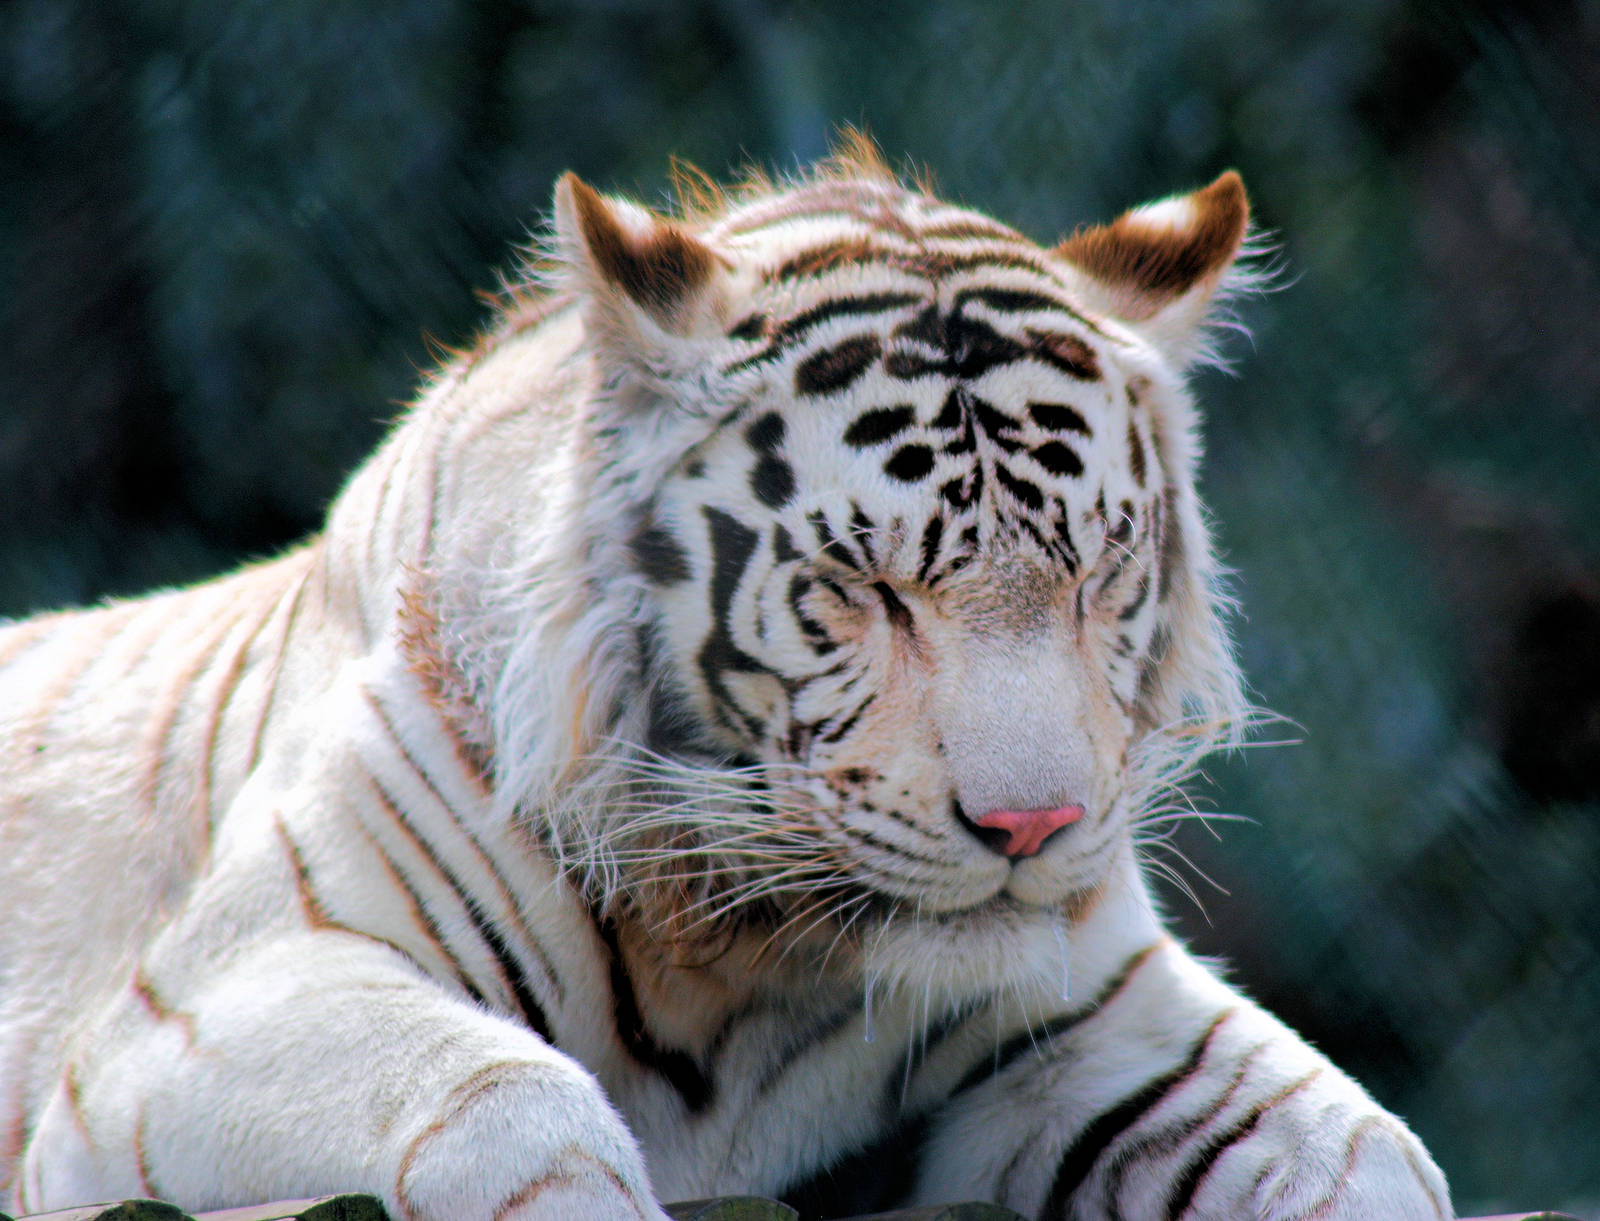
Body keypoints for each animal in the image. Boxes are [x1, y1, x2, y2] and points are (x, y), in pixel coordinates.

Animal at [0, 138, 1452, 1221]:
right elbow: (511, 1107)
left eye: (1096, 575)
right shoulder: (196, 1017)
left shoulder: (1098, 1006)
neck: (741, 963)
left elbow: (1368, 1155)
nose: (1032, 827)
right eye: (868, 589)